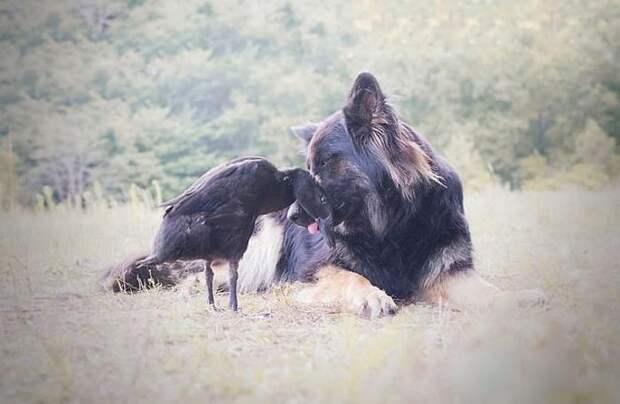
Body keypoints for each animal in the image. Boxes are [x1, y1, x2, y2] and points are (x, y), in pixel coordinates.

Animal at [104, 73, 544, 318]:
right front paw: (371, 296)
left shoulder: (448, 271)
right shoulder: (316, 269)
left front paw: (516, 299)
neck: (391, 229)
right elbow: (351, 277)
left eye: (328, 166)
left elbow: (487, 292)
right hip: (256, 237)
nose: (295, 215)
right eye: (308, 168)